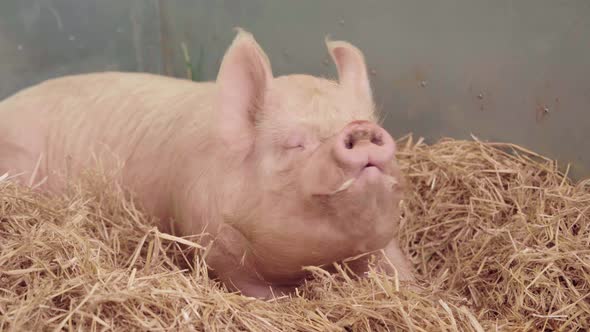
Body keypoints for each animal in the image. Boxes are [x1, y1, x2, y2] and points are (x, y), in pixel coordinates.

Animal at [0, 29, 416, 298]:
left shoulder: (383, 244)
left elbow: (400, 269)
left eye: (365, 121)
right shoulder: (217, 251)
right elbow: (260, 294)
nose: (360, 128)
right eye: (295, 143)